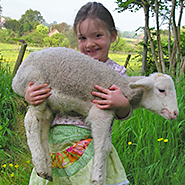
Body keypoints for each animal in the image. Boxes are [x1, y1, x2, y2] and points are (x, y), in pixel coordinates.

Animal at [11, 47, 179, 184]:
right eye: (161, 90)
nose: (175, 113)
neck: (122, 87)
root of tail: (16, 78)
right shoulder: (101, 110)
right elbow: (103, 147)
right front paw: (97, 178)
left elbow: (107, 145)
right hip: (37, 89)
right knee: (31, 122)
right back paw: (40, 164)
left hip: (48, 104)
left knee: (43, 128)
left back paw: (46, 169)